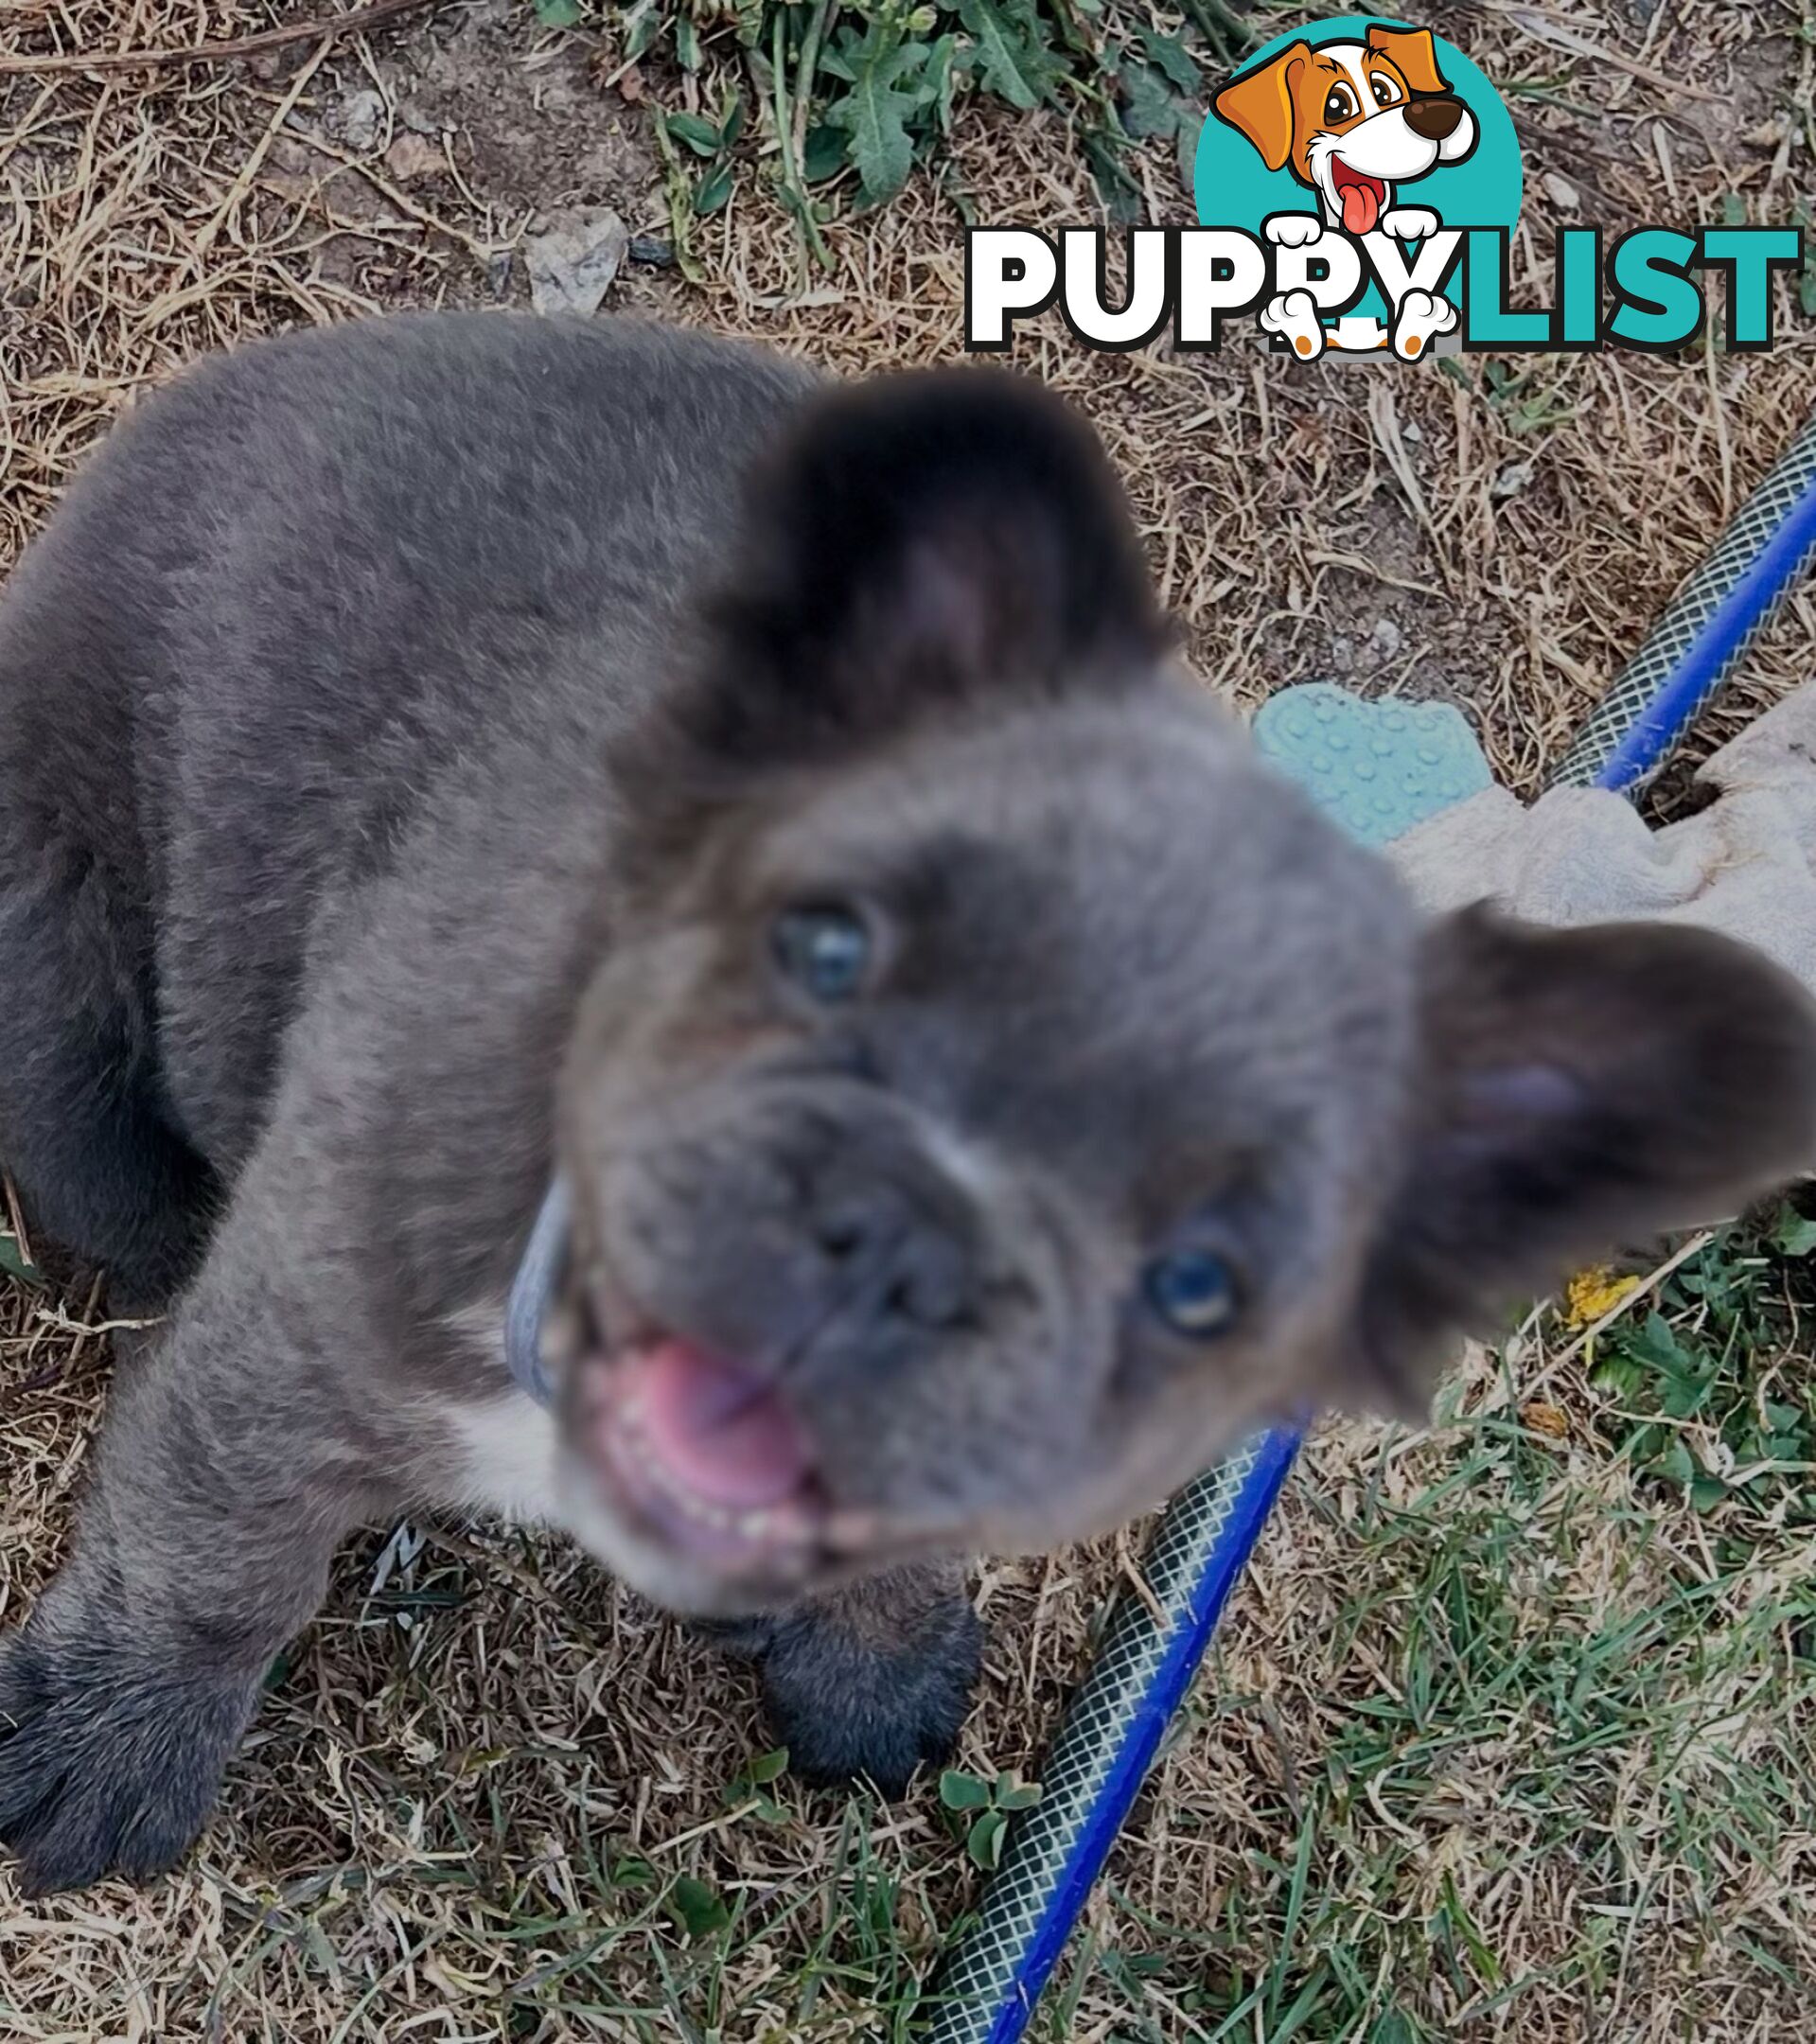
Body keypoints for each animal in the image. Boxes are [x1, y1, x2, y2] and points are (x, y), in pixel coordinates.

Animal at [3, 307, 1816, 1896]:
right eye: (826, 950)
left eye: (1200, 1279)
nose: (906, 1239)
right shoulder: (291, 1344)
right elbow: (214, 1550)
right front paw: (109, 1744)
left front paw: (871, 1661)